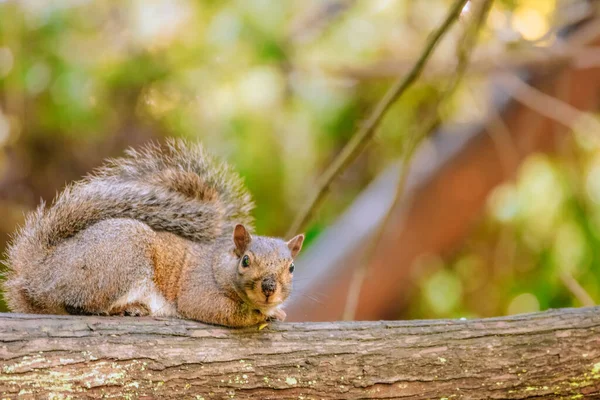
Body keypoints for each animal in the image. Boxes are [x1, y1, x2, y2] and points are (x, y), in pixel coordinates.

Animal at [1, 139, 304, 326]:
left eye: (291, 268)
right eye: (246, 261)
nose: (269, 288)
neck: (220, 265)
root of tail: (38, 273)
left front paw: (276, 312)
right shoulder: (198, 289)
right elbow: (220, 310)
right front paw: (259, 315)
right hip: (118, 259)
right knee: (76, 305)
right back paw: (124, 308)